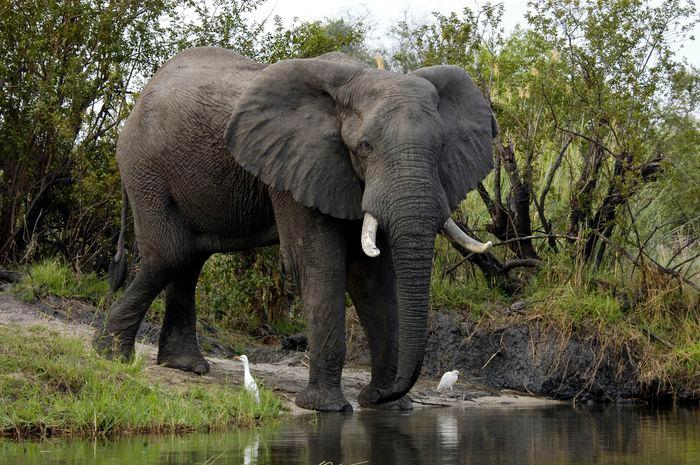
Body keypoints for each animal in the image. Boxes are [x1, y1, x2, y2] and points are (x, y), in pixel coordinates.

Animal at [94, 46, 498, 410]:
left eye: (441, 146)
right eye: (364, 146)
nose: (378, 395)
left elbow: (373, 278)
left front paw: (388, 406)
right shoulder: (300, 164)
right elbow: (318, 264)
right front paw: (326, 406)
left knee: (189, 259)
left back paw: (184, 366)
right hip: (145, 169)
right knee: (171, 253)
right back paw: (110, 354)